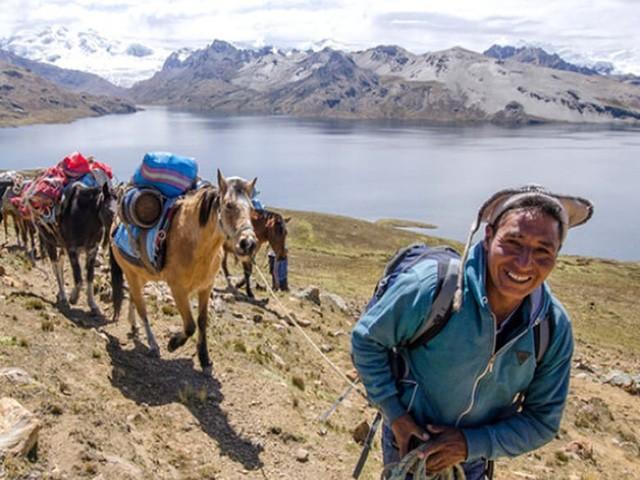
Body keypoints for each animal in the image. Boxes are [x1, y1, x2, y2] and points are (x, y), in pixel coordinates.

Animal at [39, 181, 114, 316]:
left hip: (62, 247)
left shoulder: (92, 251)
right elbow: (78, 278)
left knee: (60, 264)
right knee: (55, 266)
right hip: (49, 243)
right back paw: (63, 295)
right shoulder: (72, 250)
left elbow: (89, 277)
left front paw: (92, 304)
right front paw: (73, 298)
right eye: (110, 211)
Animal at [110, 172, 258, 376]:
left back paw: (134, 325)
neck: (196, 245)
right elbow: (190, 325)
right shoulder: (178, 290)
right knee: (141, 307)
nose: (248, 243)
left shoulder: (206, 287)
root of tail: (115, 223)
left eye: (252, 208)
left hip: (142, 274)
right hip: (131, 273)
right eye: (228, 205)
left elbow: (202, 322)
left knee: (133, 296)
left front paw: (205, 359)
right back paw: (153, 344)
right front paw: (173, 343)